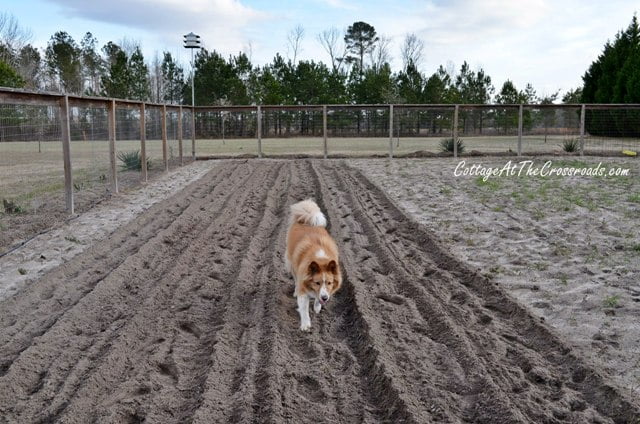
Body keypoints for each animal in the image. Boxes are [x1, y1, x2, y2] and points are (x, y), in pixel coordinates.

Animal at [286, 199, 342, 332]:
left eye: (329, 283)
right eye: (317, 282)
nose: (325, 298)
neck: (320, 258)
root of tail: (306, 219)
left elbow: (317, 299)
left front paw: (317, 307)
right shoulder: (303, 287)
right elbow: (304, 309)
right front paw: (305, 325)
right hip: (291, 262)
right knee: (295, 278)